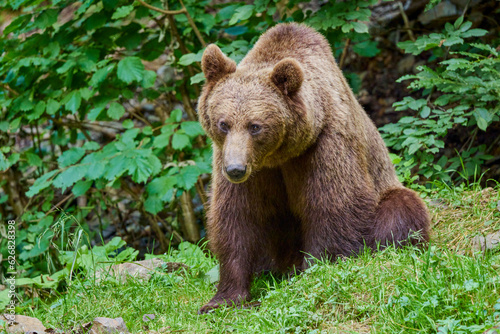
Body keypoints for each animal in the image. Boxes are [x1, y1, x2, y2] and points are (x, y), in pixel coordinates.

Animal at [195, 22, 430, 314]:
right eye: (223, 123)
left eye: (255, 126)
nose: (236, 169)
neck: (278, 156)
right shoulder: (242, 166)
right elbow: (238, 219)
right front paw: (223, 298)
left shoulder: (325, 145)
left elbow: (332, 206)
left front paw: (310, 271)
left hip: (386, 189)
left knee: (401, 209)